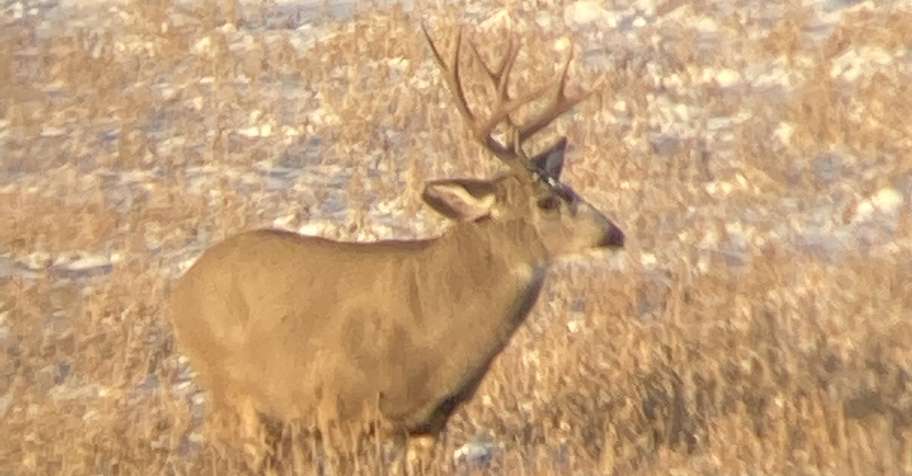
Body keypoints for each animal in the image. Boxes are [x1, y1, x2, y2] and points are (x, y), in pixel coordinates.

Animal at [168, 24, 625, 469]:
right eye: (546, 202)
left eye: (570, 188)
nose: (614, 234)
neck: (433, 329)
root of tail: (182, 287)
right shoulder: (338, 408)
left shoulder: (430, 421)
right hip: (231, 387)